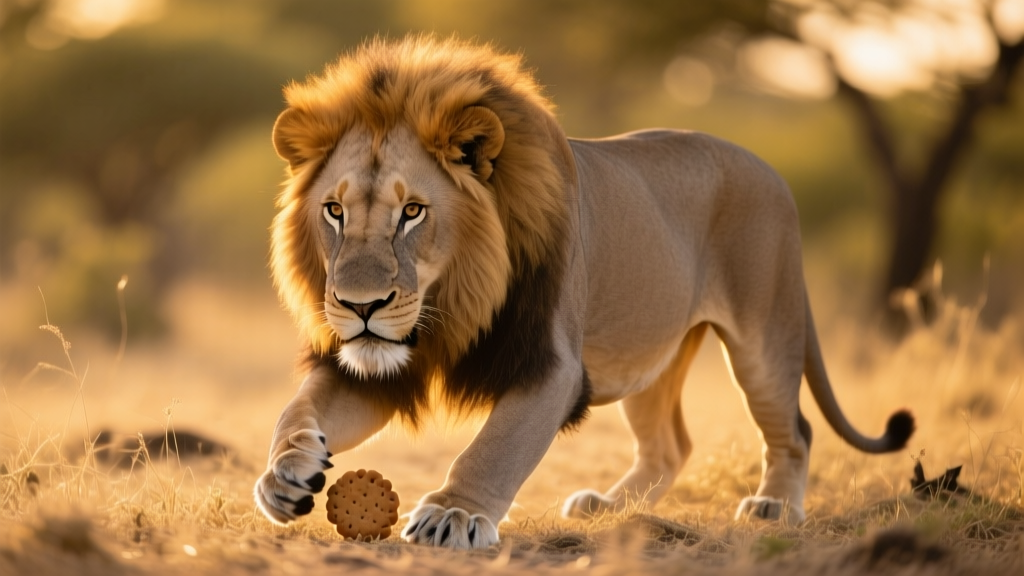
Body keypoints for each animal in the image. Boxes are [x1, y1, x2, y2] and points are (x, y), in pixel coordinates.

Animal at [254, 36, 914, 549]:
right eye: (334, 211)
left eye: (412, 212)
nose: (360, 306)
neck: (454, 302)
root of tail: (771, 170)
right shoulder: (374, 362)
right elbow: (296, 409)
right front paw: (286, 472)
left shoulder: (554, 364)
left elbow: (497, 445)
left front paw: (453, 513)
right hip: (646, 354)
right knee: (670, 445)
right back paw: (611, 508)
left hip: (763, 333)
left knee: (793, 429)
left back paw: (773, 506)